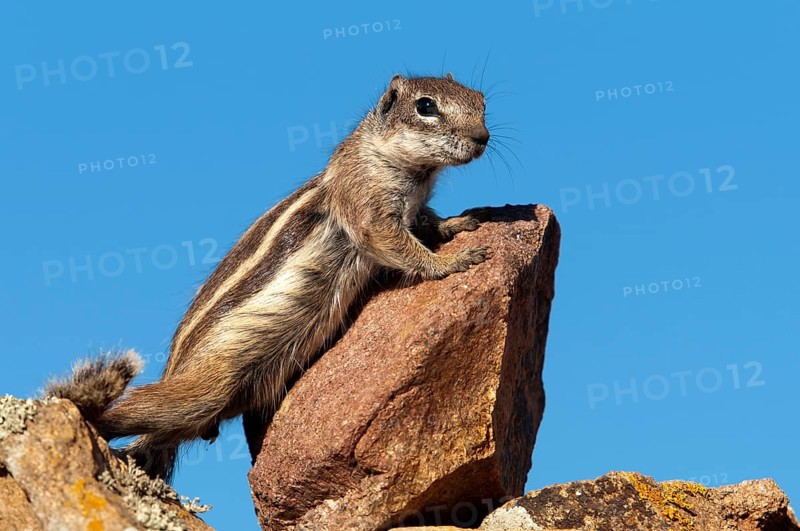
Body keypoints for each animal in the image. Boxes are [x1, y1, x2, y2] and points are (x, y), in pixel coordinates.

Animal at [46, 73, 492, 482]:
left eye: (481, 100)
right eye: (426, 106)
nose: (483, 137)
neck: (406, 168)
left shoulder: (415, 207)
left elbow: (427, 221)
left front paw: (457, 225)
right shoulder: (369, 209)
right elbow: (397, 245)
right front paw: (453, 261)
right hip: (202, 390)